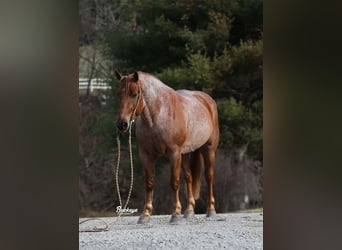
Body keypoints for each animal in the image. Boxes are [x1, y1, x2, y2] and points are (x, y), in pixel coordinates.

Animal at [115, 71, 219, 225]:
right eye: (118, 94)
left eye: (134, 94)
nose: (122, 124)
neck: (158, 115)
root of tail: (207, 100)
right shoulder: (146, 155)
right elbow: (149, 183)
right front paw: (145, 214)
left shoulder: (174, 153)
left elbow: (174, 182)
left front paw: (175, 214)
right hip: (186, 154)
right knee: (189, 178)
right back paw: (189, 211)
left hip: (209, 150)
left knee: (209, 176)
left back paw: (211, 210)